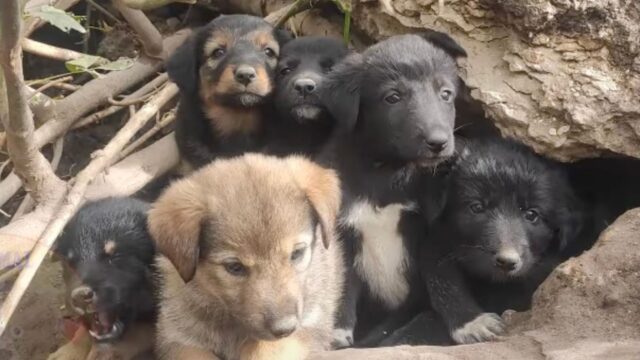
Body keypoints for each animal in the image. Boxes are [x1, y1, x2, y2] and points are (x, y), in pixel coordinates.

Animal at [148, 154, 344, 360]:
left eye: (297, 253)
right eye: (234, 267)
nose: (285, 328)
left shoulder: (310, 326)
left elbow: (267, 350)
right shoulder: (177, 338)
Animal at [318, 31, 468, 348]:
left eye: (445, 94)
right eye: (393, 97)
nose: (439, 142)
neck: (387, 172)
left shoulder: (431, 229)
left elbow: (442, 278)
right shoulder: (340, 231)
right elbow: (340, 281)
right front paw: (336, 332)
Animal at [420, 137, 584, 344]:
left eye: (532, 214)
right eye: (477, 207)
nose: (506, 261)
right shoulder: (437, 242)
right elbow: (441, 278)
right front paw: (472, 322)